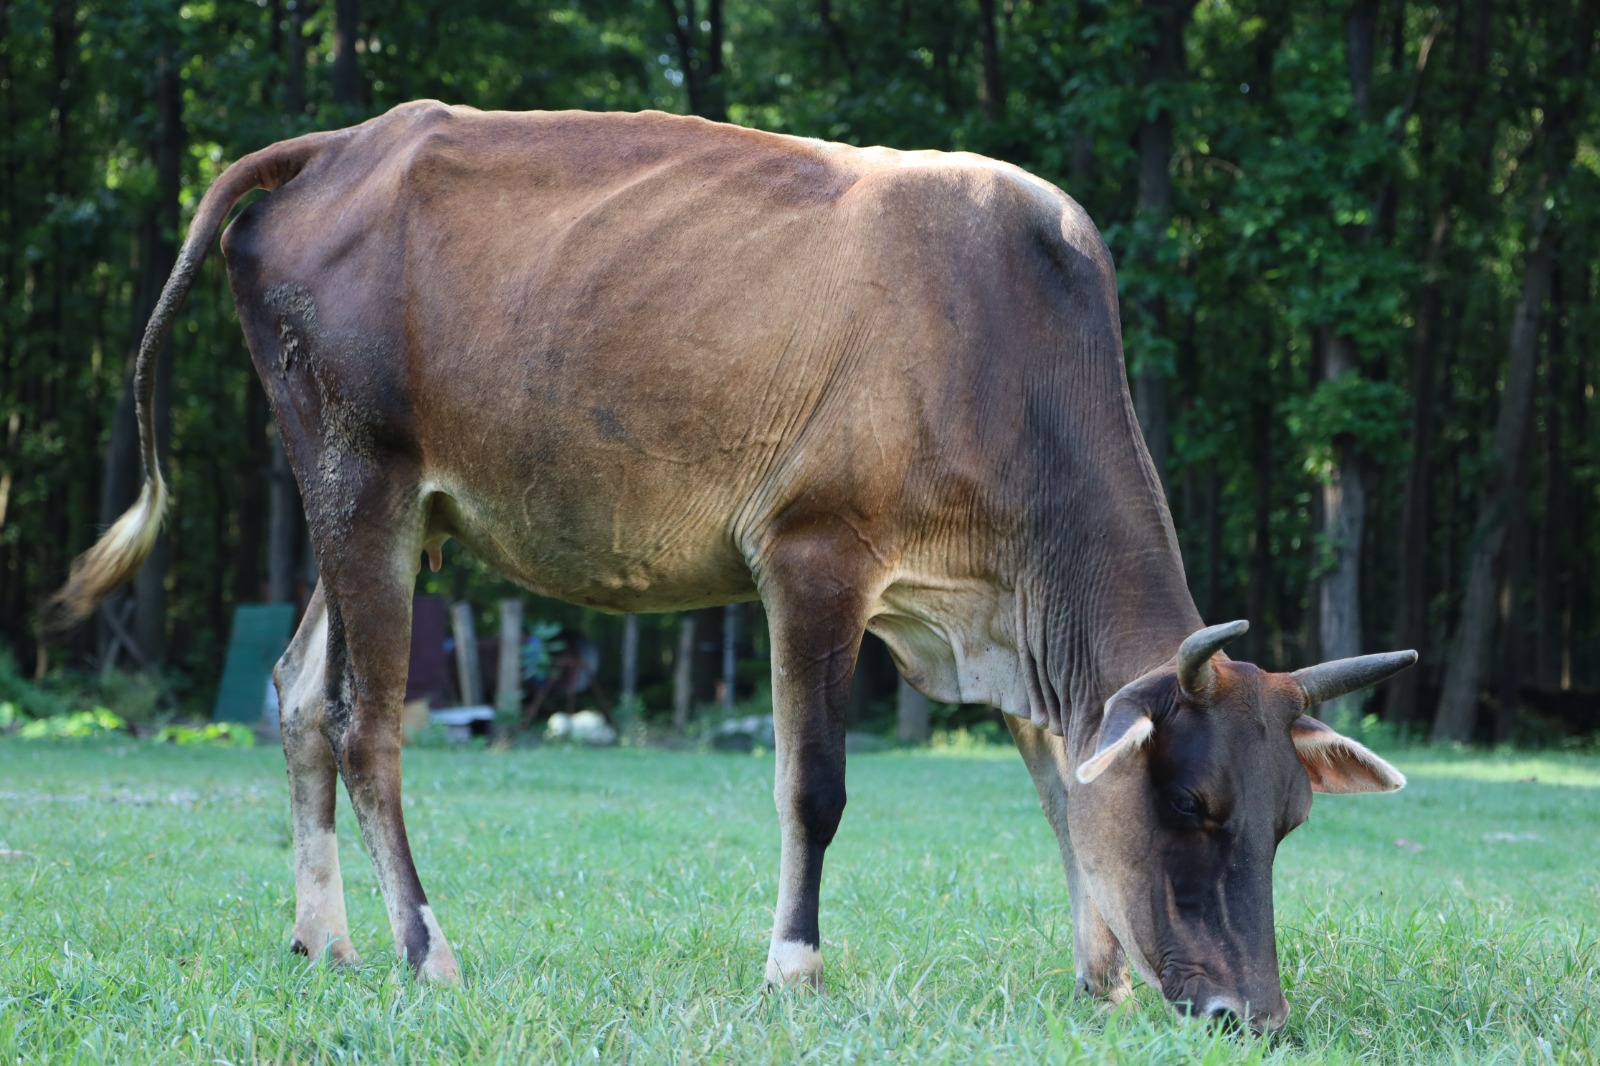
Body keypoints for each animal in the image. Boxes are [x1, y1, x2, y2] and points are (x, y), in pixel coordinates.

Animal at [50, 101, 1415, 1033]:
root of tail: (339, 144)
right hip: (359, 474)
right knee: (365, 722)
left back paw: (321, 938)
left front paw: (1099, 976)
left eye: (1290, 820)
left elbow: (1058, 788)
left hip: (382, 505)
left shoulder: (1005, 628)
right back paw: (424, 950)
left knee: (293, 690)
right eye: (1196, 805)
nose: (1251, 1015)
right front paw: (793, 965)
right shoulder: (813, 551)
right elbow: (813, 787)